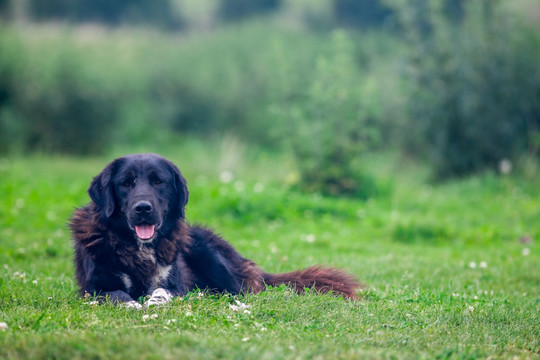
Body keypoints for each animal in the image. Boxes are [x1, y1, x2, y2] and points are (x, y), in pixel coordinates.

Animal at [69, 153, 360, 308]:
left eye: (158, 181)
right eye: (126, 183)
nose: (143, 208)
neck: (136, 247)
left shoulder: (175, 283)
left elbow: (163, 291)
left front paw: (155, 300)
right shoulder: (92, 288)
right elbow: (116, 293)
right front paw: (130, 302)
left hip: (206, 250)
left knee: (242, 289)